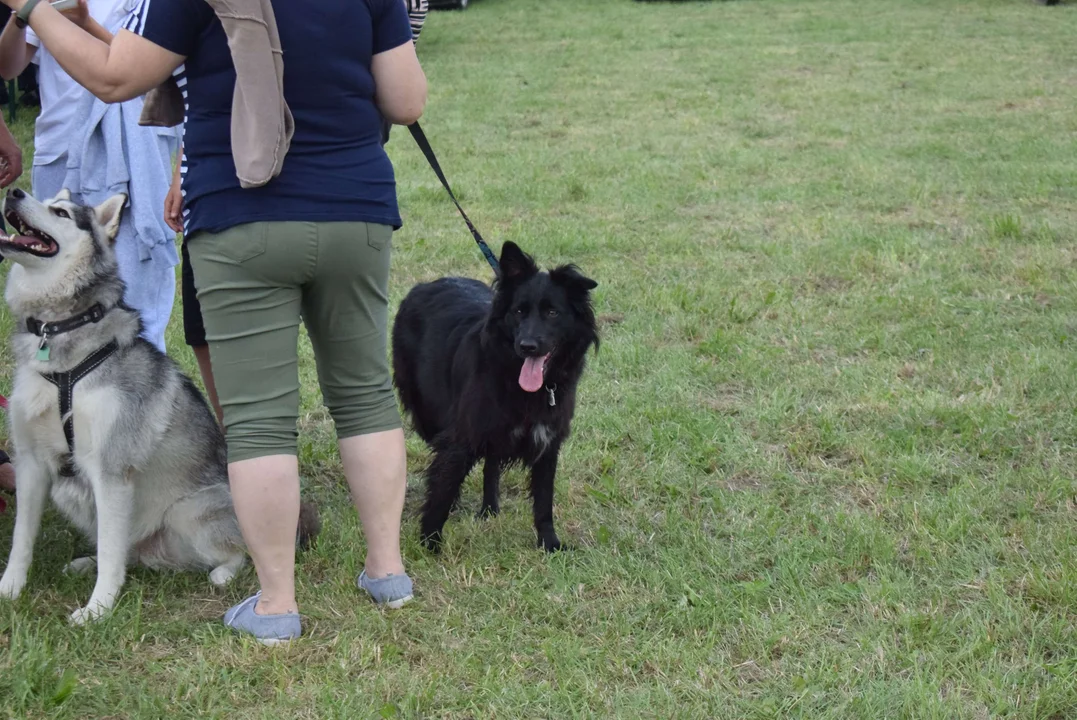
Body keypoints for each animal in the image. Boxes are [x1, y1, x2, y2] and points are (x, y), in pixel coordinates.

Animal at [394, 241, 598, 551]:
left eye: (553, 313)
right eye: (518, 311)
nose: (527, 346)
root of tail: (423, 286)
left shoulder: (547, 440)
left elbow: (544, 500)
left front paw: (550, 544)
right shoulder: (461, 436)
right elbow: (442, 488)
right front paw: (430, 544)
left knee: (491, 463)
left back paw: (490, 509)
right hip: (427, 412)